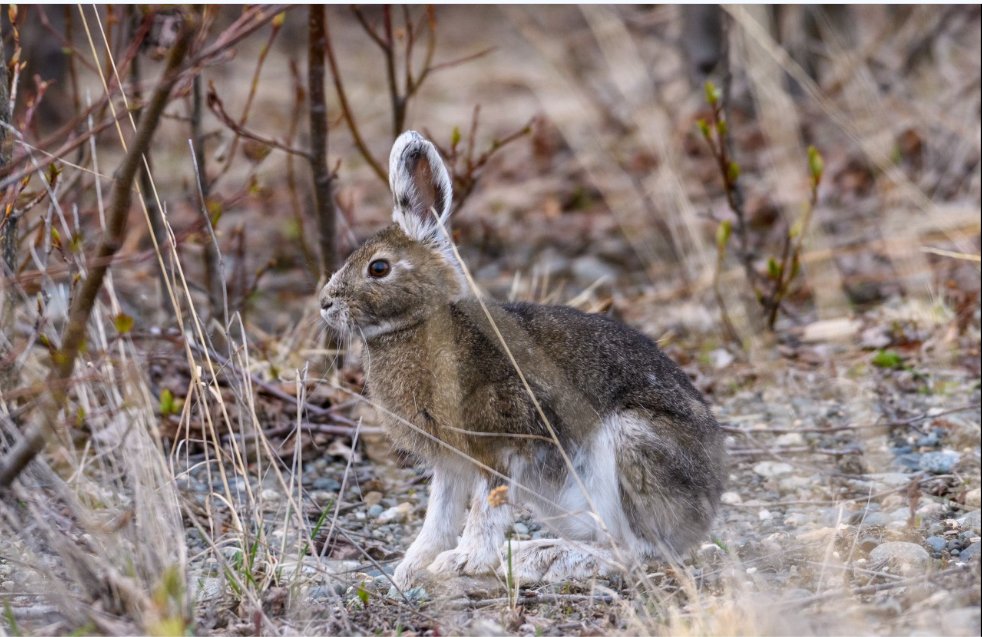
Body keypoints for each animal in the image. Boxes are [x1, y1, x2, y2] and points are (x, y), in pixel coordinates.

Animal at [319, 130, 724, 588]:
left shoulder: (502, 442)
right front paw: (413, 568)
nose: (326, 304)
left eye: (379, 268)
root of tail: (704, 512)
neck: (423, 323)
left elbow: (485, 509)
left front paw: (463, 561)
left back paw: (537, 557)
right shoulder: (451, 463)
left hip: (631, 446)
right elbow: (439, 514)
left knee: (640, 552)